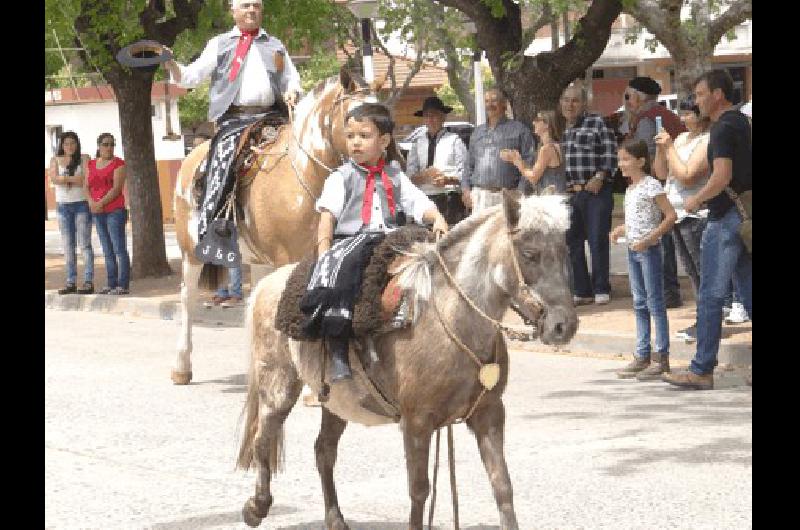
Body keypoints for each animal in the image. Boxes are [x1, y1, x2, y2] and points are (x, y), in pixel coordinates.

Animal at [170, 70, 382, 384]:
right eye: (353, 117)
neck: (306, 174)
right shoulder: (288, 258)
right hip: (191, 252)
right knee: (188, 299)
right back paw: (182, 367)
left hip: (258, 260)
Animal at [234, 191, 580, 528]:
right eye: (529, 253)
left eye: (564, 251)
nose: (563, 326)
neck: (452, 318)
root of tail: (267, 282)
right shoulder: (416, 422)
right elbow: (419, 490)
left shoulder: (489, 414)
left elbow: (502, 485)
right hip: (278, 387)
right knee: (263, 439)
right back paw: (256, 506)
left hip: (337, 400)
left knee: (324, 451)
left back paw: (334, 519)